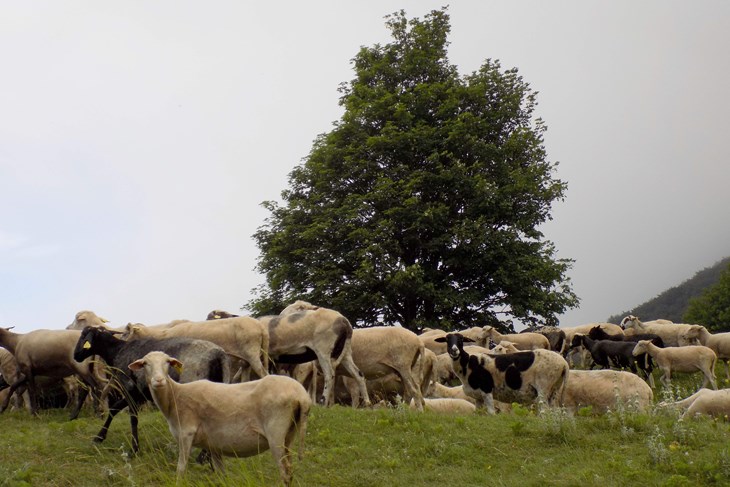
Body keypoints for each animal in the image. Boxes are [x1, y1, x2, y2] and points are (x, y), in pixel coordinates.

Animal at [72, 324, 229, 454]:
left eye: (83, 336)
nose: (75, 355)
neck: (117, 351)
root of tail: (218, 354)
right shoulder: (137, 393)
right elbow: (114, 409)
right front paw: (99, 437)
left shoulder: (129, 389)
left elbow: (133, 419)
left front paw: (134, 449)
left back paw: (203, 457)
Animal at [127, 350, 308, 484]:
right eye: (145, 364)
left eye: (167, 362)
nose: (159, 381)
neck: (175, 397)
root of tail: (301, 395)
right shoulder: (214, 445)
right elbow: (221, 475)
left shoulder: (186, 433)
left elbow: (181, 469)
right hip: (289, 433)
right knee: (290, 469)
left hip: (275, 433)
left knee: (285, 471)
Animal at [432, 336, 568, 416]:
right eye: (447, 340)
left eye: (460, 340)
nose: (454, 351)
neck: (469, 364)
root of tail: (564, 364)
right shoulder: (478, 397)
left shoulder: (487, 390)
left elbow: (491, 413)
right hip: (554, 390)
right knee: (554, 412)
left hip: (543, 388)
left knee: (544, 412)